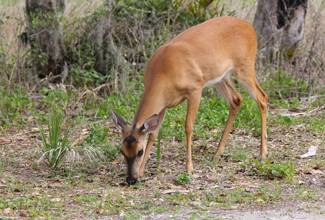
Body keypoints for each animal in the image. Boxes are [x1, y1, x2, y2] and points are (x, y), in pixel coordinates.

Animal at [110, 16, 268, 184]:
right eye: (122, 150)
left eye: (139, 151)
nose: (130, 179)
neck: (163, 73)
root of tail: (250, 26)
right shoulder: (163, 104)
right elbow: (153, 134)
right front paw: (141, 172)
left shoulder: (195, 89)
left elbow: (188, 127)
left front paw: (189, 168)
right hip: (221, 77)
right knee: (236, 99)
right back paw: (217, 154)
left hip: (244, 66)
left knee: (262, 97)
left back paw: (262, 154)